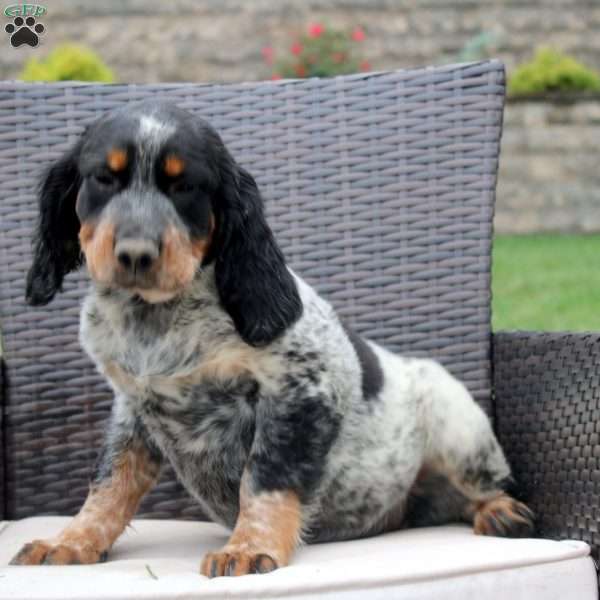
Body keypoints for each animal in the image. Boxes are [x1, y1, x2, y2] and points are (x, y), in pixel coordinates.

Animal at [9, 101, 536, 576]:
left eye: (186, 187)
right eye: (104, 178)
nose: (136, 254)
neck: (157, 320)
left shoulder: (300, 392)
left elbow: (264, 478)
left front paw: (248, 549)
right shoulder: (133, 407)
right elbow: (109, 482)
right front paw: (71, 540)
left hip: (460, 428)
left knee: (489, 485)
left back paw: (498, 512)